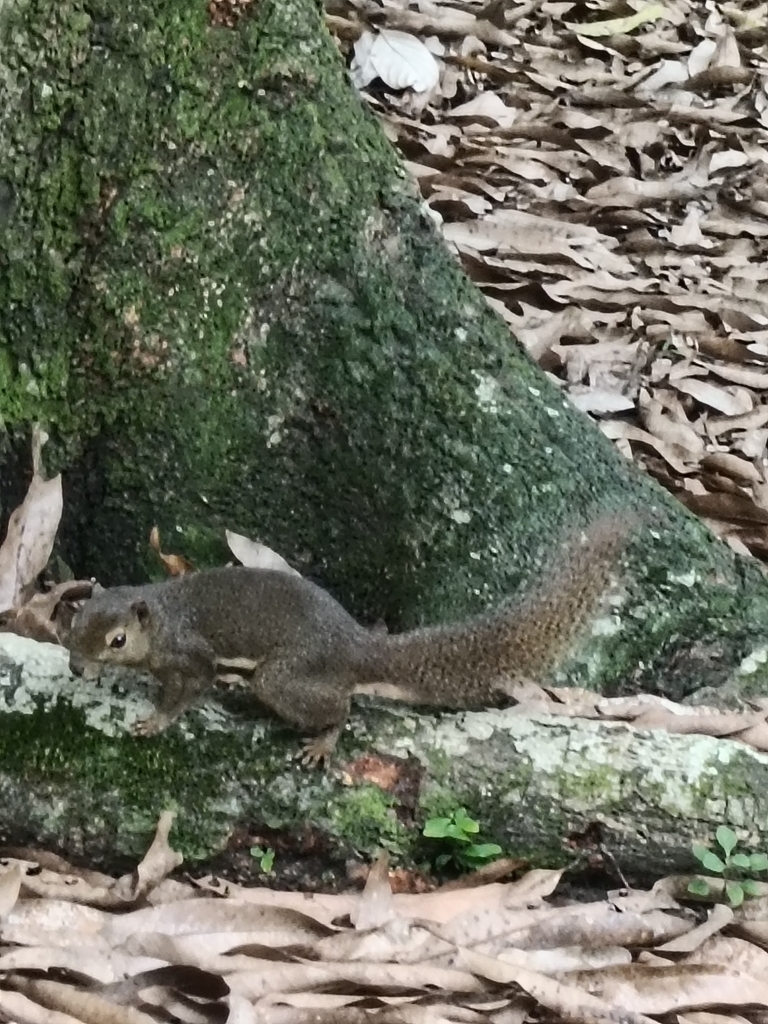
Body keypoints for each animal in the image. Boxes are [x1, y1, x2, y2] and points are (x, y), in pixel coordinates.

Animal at [66, 514, 632, 764]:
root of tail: (357, 646)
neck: (161, 613)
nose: (74, 666)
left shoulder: (191, 649)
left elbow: (192, 686)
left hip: (286, 676)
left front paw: (158, 718)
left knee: (337, 706)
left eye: (117, 641)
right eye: (73, 622)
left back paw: (324, 739)